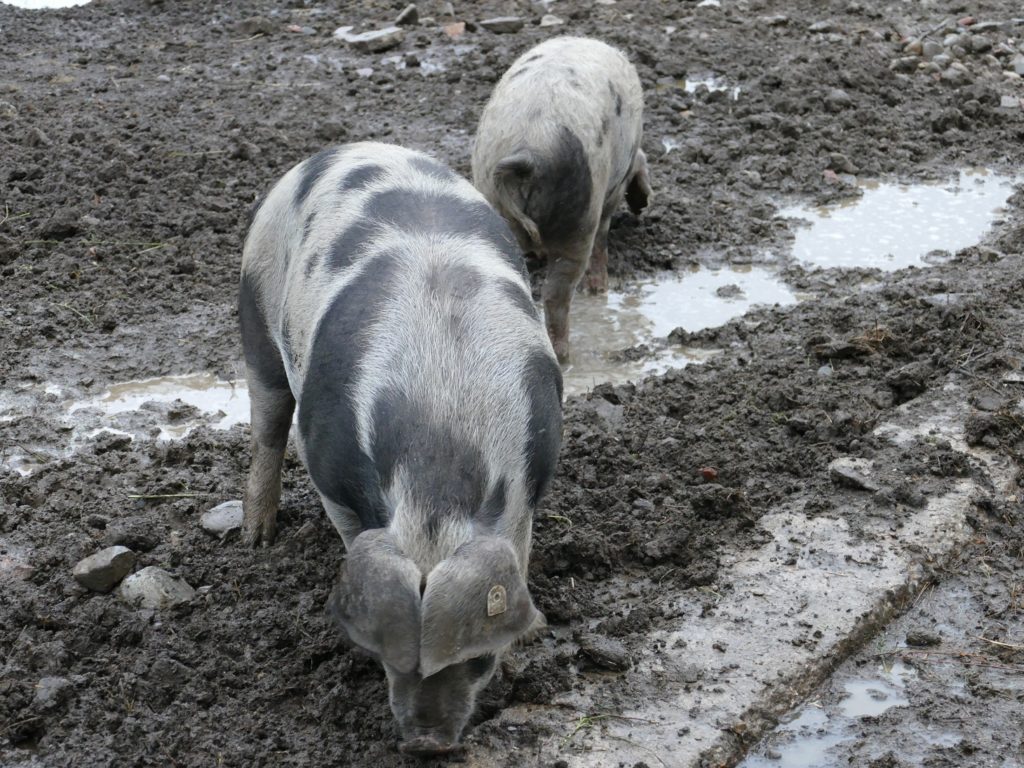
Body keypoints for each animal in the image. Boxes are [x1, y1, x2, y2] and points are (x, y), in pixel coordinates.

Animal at [239, 142, 563, 756]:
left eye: (479, 660)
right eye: (388, 658)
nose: (427, 743)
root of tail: (351, 146)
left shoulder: (530, 482)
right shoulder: (329, 473)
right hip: (256, 301)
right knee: (267, 424)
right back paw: (257, 540)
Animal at [472, 36, 653, 363]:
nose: (643, 206)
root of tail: (527, 150)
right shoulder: (610, 194)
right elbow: (603, 237)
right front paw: (599, 292)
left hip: (493, 203)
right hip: (578, 217)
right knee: (557, 292)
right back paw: (565, 353)